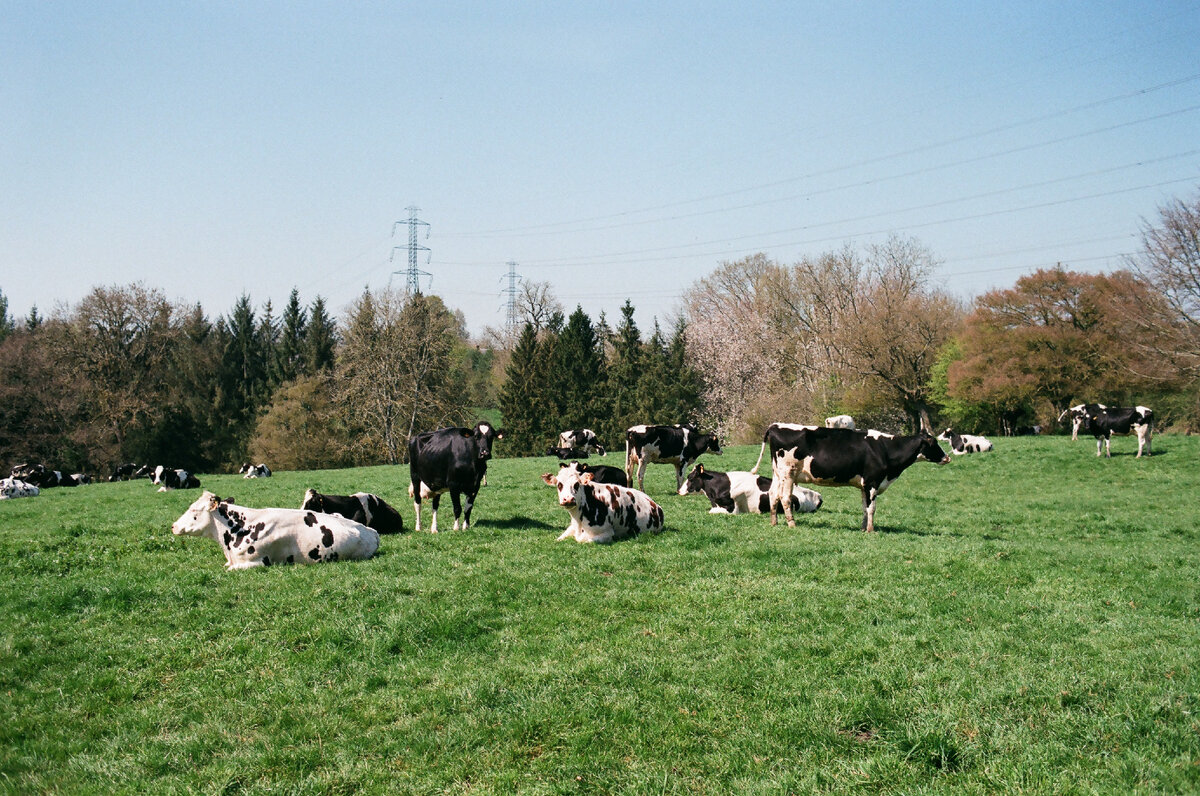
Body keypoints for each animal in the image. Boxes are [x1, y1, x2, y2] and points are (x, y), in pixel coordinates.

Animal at [753, 422, 950, 535]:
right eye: (934, 443)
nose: (947, 457)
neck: (886, 449)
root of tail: (775, 425)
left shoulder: (864, 485)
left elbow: (864, 508)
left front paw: (863, 528)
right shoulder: (872, 482)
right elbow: (872, 508)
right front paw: (871, 530)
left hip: (778, 473)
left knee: (773, 495)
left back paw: (774, 522)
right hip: (788, 473)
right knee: (785, 497)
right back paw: (792, 524)